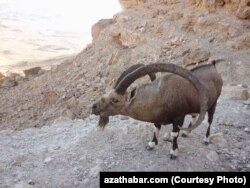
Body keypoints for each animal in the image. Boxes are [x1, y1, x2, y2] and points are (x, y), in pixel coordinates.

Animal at [91, 62, 223, 159]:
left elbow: (174, 133)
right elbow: (156, 128)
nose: (93, 107)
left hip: (214, 102)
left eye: (115, 100)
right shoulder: (158, 118)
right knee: (195, 115)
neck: (161, 95)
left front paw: (173, 152)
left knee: (210, 120)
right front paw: (151, 145)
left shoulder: (179, 117)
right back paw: (186, 133)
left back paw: (206, 139)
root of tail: (213, 67)